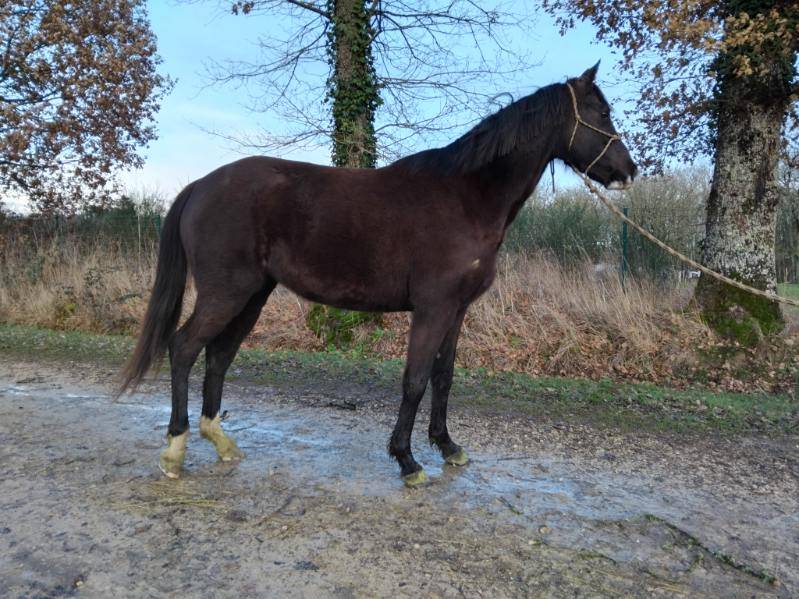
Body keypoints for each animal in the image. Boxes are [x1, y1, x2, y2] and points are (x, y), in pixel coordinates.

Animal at [120, 63, 637, 486]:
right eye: (602, 112)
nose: (628, 171)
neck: (467, 197)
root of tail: (200, 186)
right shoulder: (432, 308)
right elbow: (415, 380)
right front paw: (407, 461)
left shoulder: (457, 311)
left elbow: (444, 377)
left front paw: (448, 446)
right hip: (226, 292)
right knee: (184, 348)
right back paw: (175, 450)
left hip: (252, 295)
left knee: (219, 355)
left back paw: (221, 442)